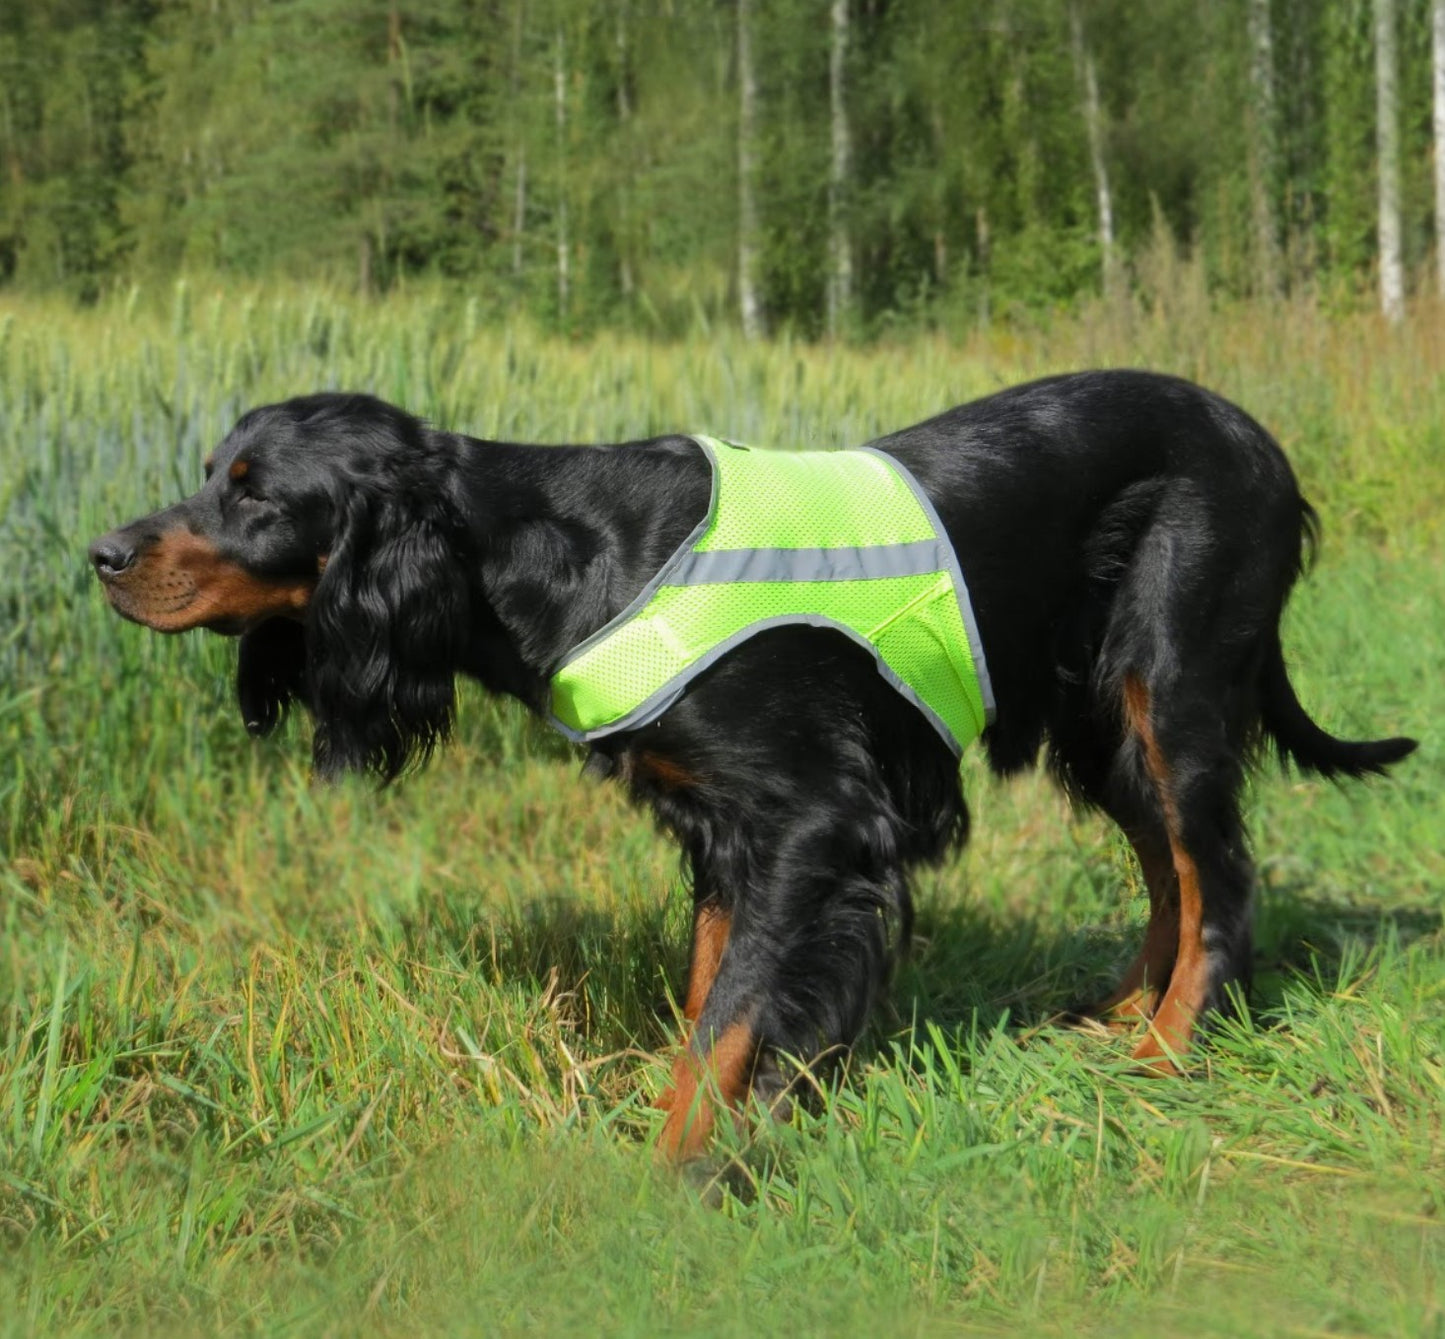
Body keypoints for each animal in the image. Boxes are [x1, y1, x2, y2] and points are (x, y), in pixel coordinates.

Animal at [87, 372, 1410, 1155]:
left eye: (257, 498)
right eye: (209, 475)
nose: (101, 552)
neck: (562, 554)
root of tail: (1255, 437)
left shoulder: (811, 822)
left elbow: (732, 1015)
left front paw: (670, 1172)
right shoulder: (723, 826)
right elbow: (709, 991)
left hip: (1168, 686)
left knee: (1217, 875)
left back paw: (1165, 1051)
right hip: (1100, 719)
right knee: (1162, 866)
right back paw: (1118, 1016)